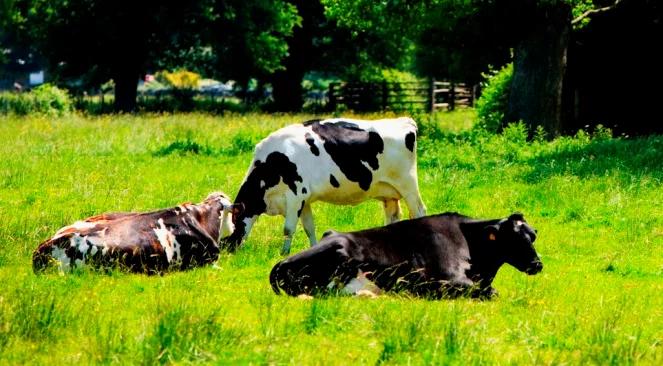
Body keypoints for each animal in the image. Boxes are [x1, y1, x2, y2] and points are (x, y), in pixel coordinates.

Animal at [223, 117, 428, 254]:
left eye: (228, 226)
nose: (223, 252)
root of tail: (405, 121)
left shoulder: (295, 195)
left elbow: (288, 228)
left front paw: (284, 253)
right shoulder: (304, 200)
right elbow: (309, 227)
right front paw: (313, 248)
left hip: (408, 185)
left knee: (420, 211)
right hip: (389, 193)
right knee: (393, 217)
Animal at [270, 212, 544, 300]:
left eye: (532, 236)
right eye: (514, 238)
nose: (537, 264)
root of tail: (281, 262)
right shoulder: (445, 279)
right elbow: (488, 292)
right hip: (338, 252)